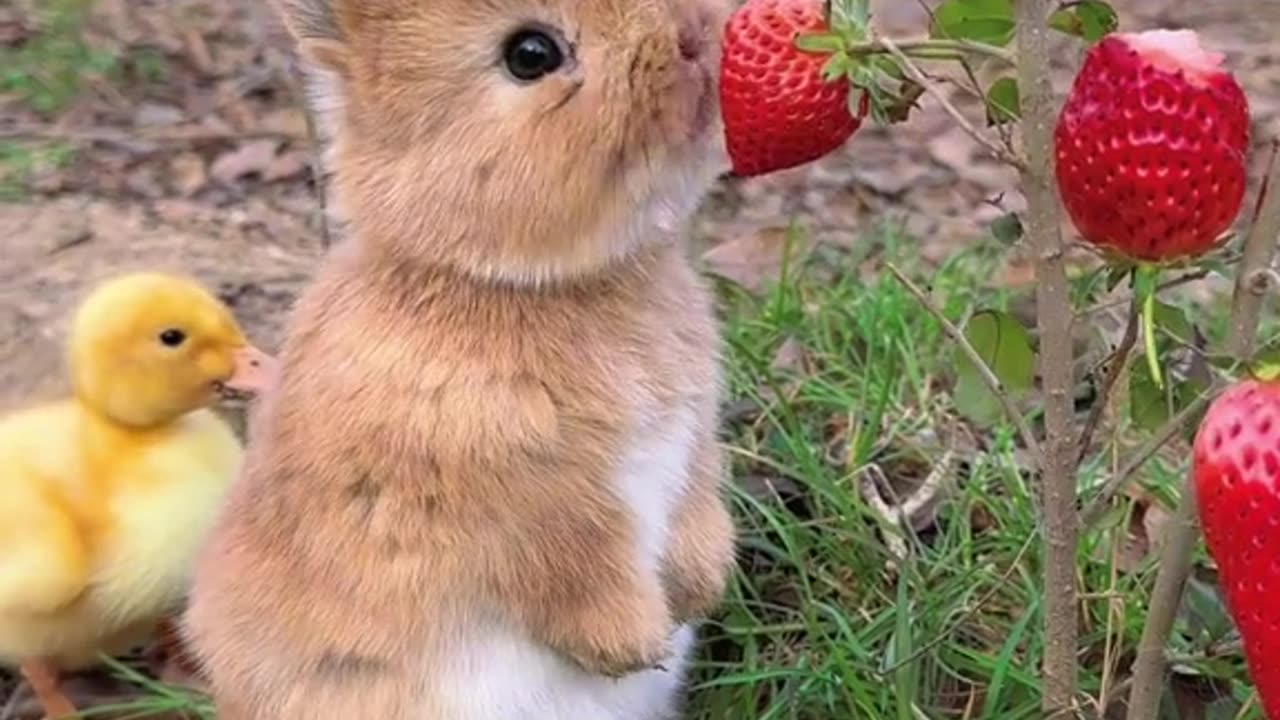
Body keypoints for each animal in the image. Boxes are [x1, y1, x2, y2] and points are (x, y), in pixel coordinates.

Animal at [184, 0, 737, 712]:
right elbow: (574, 566)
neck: (519, 285)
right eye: (530, 54)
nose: (695, 35)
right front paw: (633, 645)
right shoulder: (520, 504)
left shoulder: (693, 437)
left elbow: (697, 506)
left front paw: (699, 590)